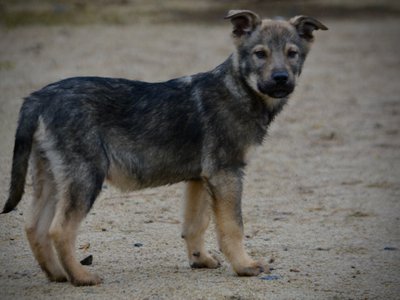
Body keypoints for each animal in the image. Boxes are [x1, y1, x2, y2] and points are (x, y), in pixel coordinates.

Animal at [1, 9, 326, 286]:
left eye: (292, 54)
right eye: (260, 54)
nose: (281, 79)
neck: (239, 90)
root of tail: (39, 97)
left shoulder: (199, 178)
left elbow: (195, 225)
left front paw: (200, 260)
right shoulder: (227, 173)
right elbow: (233, 226)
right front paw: (245, 266)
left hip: (52, 179)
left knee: (34, 226)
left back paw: (57, 274)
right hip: (85, 179)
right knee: (60, 230)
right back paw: (81, 277)